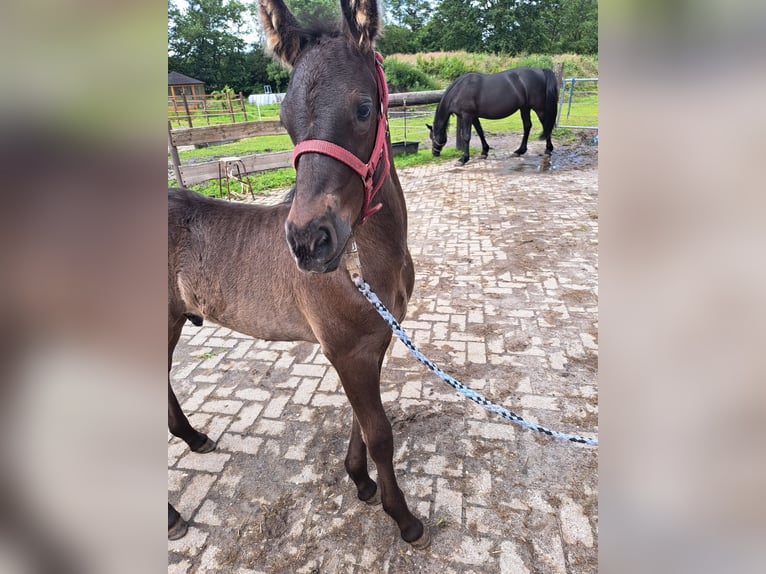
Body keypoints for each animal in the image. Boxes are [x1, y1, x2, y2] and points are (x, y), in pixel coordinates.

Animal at [168, 0, 428, 548]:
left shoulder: (372, 343)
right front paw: (403, 518)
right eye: (285, 120)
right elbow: (380, 433)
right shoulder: (347, 351)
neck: (363, 263)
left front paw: (360, 482)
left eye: (363, 108)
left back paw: (196, 439)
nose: (309, 242)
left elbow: (360, 422)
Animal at [426, 68, 560, 166]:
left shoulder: (467, 116)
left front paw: (464, 159)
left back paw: (548, 149)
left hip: (539, 108)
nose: (434, 153)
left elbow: (466, 137)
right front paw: (484, 152)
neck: (459, 90)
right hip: (525, 107)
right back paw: (519, 151)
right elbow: (480, 132)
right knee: (527, 126)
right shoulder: (474, 117)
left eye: (432, 137)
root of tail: (541, 70)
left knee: (545, 125)